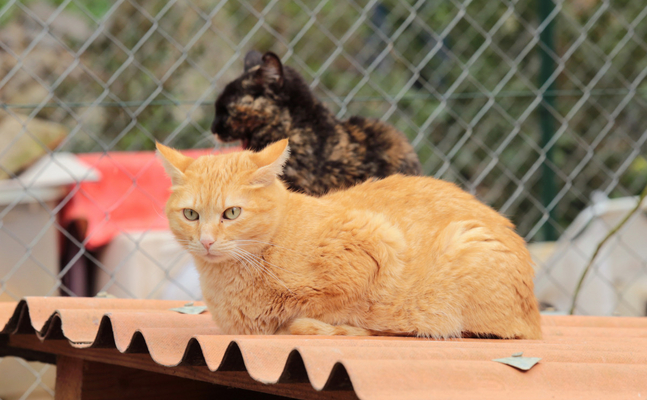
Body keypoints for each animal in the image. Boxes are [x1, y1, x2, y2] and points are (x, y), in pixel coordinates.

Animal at [159, 139, 544, 340]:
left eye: (232, 213)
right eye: (191, 215)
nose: (206, 242)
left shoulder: (378, 241)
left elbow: (326, 306)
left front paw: (311, 323)